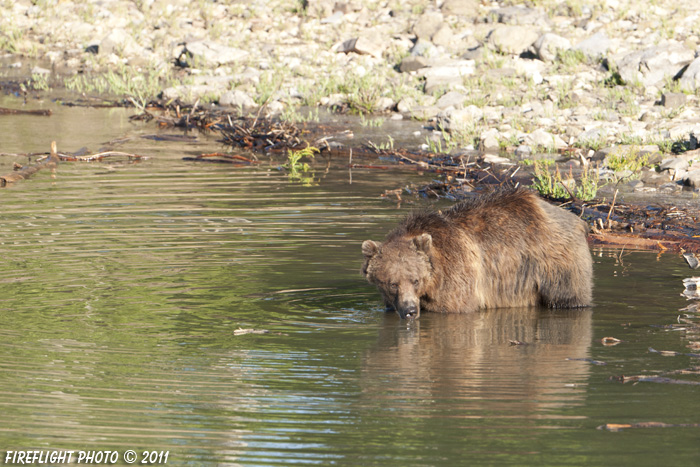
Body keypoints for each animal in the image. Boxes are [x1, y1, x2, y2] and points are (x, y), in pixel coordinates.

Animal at [364, 188, 592, 320]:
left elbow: (454, 307)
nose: (410, 311)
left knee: (568, 295)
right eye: (392, 283)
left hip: (556, 262)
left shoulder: (456, 277)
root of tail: (577, 220)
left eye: (416, 280)